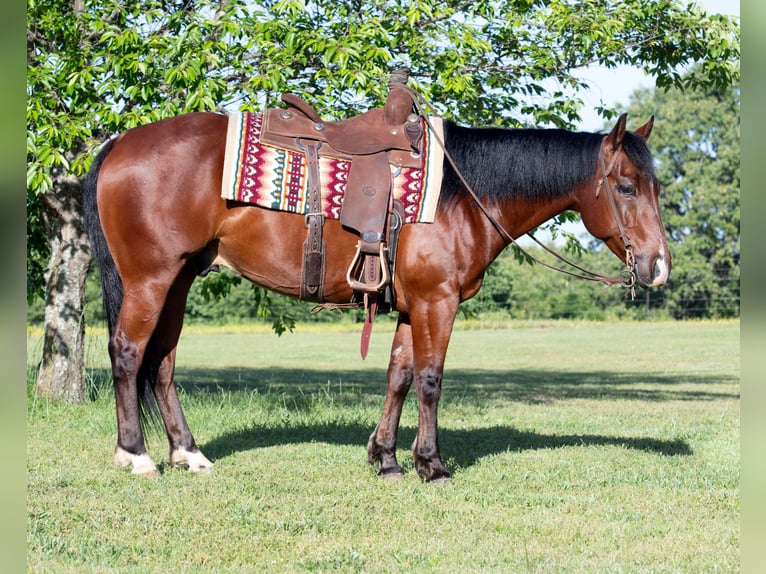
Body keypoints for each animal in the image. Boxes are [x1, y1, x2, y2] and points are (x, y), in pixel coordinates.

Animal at [82, 106, 670, 482]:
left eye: (656, 186)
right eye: (625, 186)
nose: (659, 265)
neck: (463, 192)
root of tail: (118, 143)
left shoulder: (413, 307)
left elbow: (399, 376)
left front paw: (385, 458)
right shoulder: (438, 302)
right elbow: (430, 380)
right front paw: (431, 465)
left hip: (180, 279)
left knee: (162, 363)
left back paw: (188, 453)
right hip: (150, 278)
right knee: (128, 354)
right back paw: (136, 455)